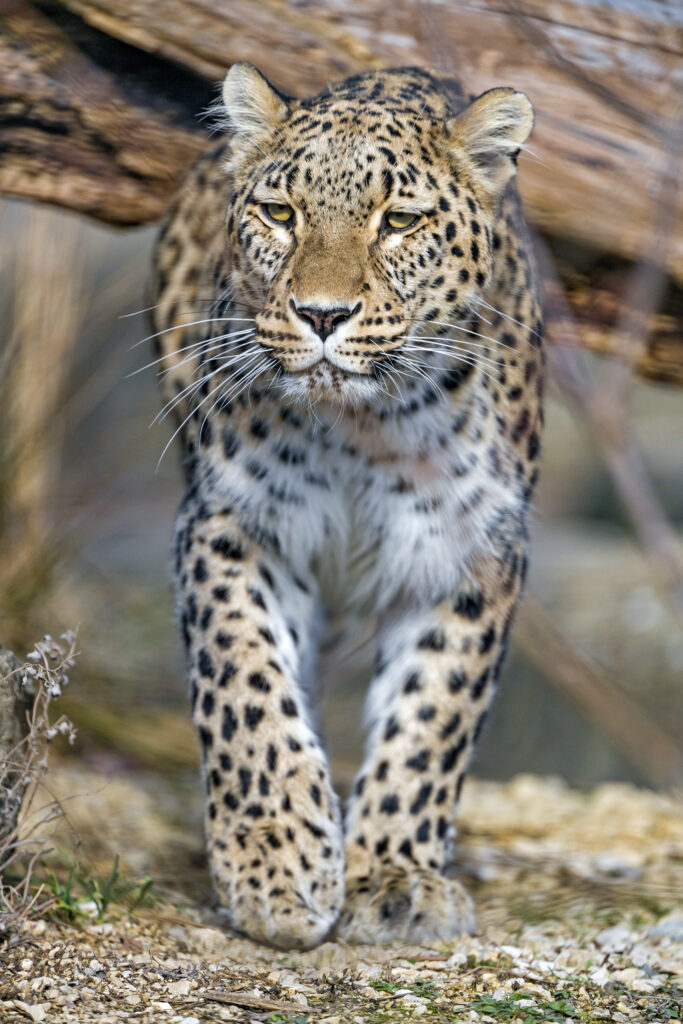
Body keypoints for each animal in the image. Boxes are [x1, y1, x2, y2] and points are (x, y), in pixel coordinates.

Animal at [147, 63, 544, 950]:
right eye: (280, 213)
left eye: (397, 221)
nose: (321, 315)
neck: (365, 428)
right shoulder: (232, 524)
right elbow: (245, 684)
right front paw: (276, 858)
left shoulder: (472, 553)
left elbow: (430, 717)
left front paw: (391, 874)